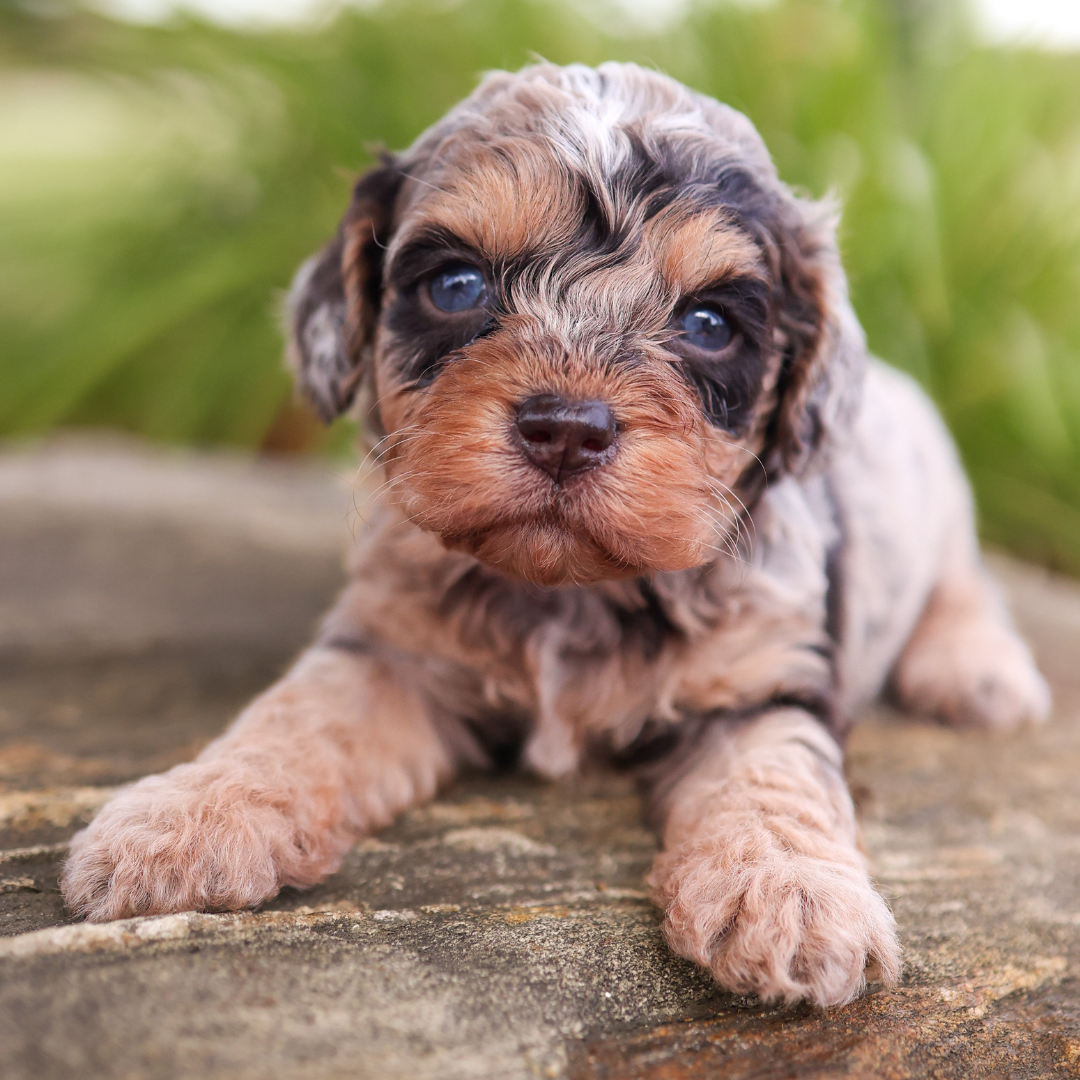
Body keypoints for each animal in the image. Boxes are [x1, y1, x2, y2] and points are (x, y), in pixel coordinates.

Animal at [59, 65, 1045, 1010]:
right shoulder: (392, 654)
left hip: (939, 495)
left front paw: (794, 898)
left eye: (709, 324)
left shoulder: (762, 683)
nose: (566, 429)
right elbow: (296, 719)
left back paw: (976, 672)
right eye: (456, 285)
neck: (566, 591)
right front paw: (184, 818)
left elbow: (774, 782)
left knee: (966, 582)